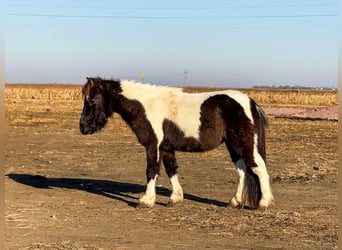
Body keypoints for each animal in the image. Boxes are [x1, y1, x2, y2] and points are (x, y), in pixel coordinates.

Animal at [79, 76, 274, 209]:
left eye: (91, 100)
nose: (83, 127)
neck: (146, 106)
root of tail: (251, 103)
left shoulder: (153, 145)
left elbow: (151, 170)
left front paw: (146, 200)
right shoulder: (166, 147)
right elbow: (171, 170)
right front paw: (175, 198)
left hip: (243, 144)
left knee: (259, 169)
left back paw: (264, 203)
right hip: (233, 145)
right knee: (242, 171)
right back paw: (234, 201)